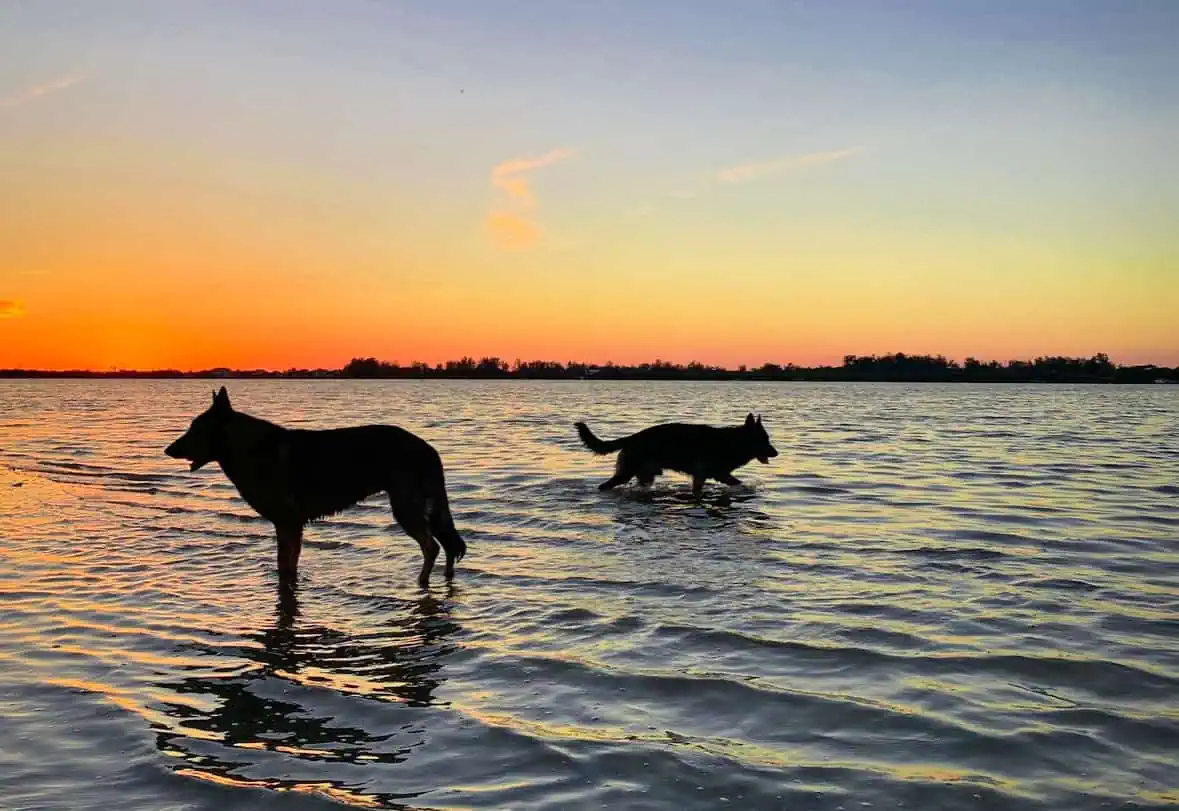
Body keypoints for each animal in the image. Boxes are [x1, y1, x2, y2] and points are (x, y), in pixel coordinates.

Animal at [165, 388, 464, 587]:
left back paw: (421, 581)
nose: (168, 450)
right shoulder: (288, 527)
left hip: (405, 509)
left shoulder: (288, 525)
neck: (250, 447)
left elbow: (285, 566)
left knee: (432, 547)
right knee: (447, 545)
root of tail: (428, 449)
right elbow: (286, 567)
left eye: (195, 428)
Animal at [575, 414, 778, 497]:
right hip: (626, 474)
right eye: (764, 440)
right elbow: (738, 482)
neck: (732, 442)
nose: (777, 453)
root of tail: (633, 436)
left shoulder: (701, 477)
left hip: (645, 477)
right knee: (604, 486)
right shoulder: (715, 474)